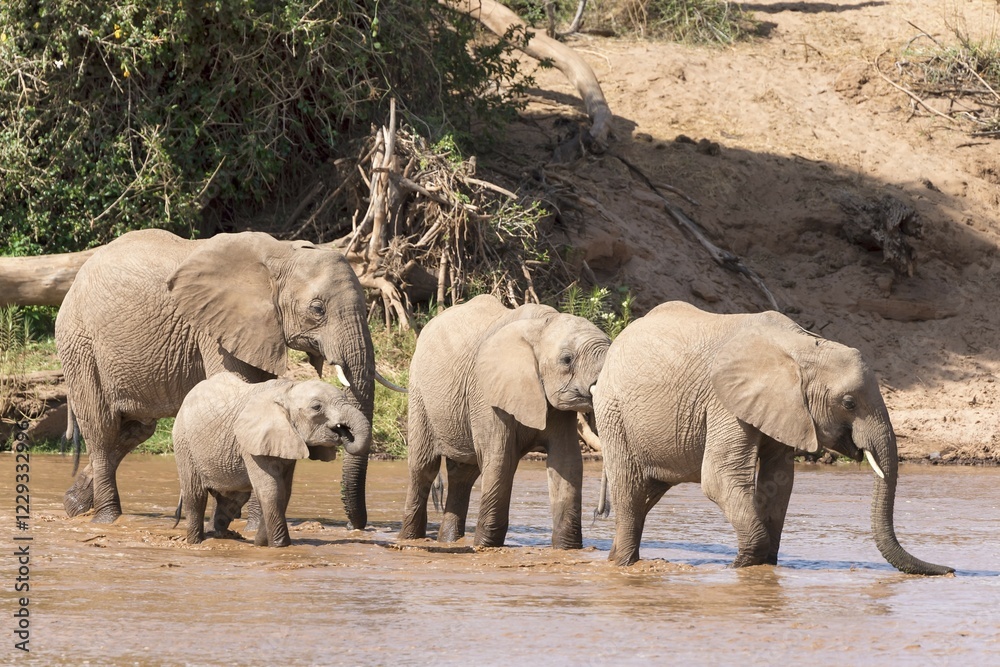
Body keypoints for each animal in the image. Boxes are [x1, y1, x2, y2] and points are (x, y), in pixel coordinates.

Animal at [56, 228, 376, 527]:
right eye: (317, 309)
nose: (355, 526)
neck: (282, 254)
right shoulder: (215, 327)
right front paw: (252, 523)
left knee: (136, 429)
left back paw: (73, 506)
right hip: (80, 344)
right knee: (102, 428)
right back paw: (107, 518)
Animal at [172, 373, 370, 546]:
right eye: (316, 407)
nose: (343, 431)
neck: (286, 391)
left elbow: (284, 492)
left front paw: (260, 543)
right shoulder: (252, 442)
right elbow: (271, 490)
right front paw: (279, 546)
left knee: (232, 499)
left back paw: (217, 536)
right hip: (183, 442)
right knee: (195, 494)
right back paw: (196, 542)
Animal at [399, 294, 611, 549]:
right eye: (566, 360)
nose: (600, 513)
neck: (541, 324)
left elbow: (566, 462)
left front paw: (567, 549)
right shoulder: (486, 394)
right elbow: (501, 461)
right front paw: (485, 547)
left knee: (463, 475)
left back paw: (447, 541)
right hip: (419, 394)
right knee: (424, 467)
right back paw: (409, 539)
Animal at [593, 300, 953, 576]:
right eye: (849, 403)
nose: (950, 570)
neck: (801, 347)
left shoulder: (787, 408)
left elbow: (779, 479)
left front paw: (761, 564)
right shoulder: (724, 400)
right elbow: (720, 478)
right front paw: (741, 567)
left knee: (646, 494)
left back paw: (613, 559)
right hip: (613, 412)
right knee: (629, 489)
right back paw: (623, 565)